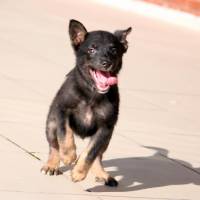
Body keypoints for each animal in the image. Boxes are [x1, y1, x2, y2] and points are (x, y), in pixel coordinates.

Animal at [40, 19, 131, 187]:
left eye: (114, 50)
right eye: (91, 49)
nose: (106, 63)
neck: (92, 92)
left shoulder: (105, 127)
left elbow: (91, 152)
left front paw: (79, 172)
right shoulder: (62, 110)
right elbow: (65, 133)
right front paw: (68, 155)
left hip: (108, 138)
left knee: (98, 156)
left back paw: (102, 174)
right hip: (51, 123)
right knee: (54, 145)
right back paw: (52, 165)